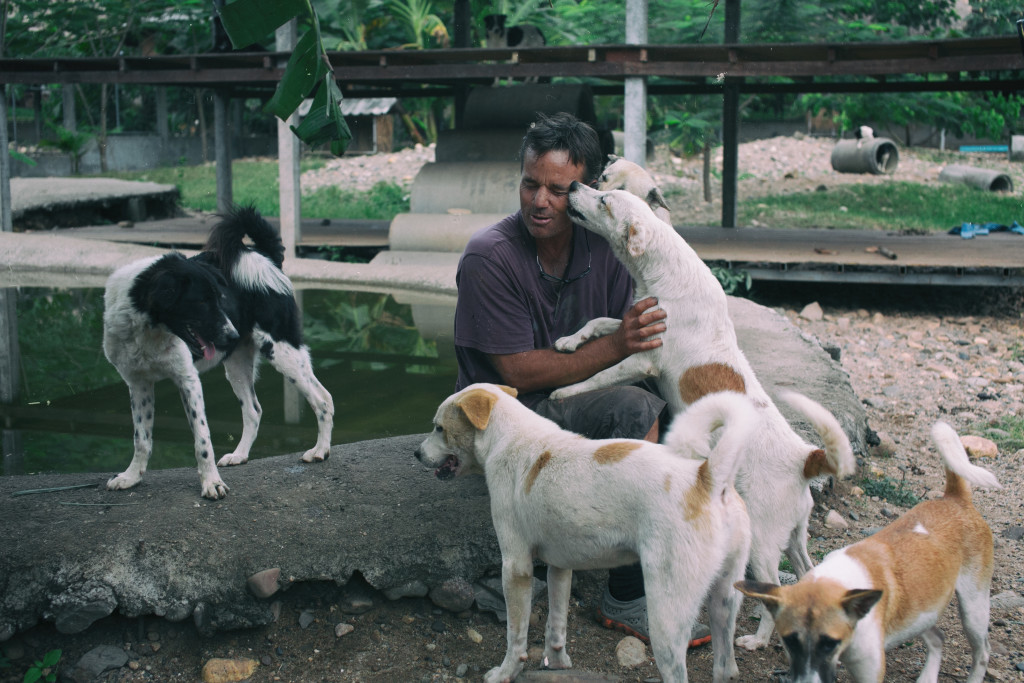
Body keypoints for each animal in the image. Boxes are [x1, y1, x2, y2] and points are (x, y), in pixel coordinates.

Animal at [100, 205, 331, 499]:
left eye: (219, 298)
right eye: (201, 302)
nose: (231, 335)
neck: (149, 330)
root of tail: (265, 256)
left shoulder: (188, 380)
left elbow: (202, 440)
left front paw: (211, 483)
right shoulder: (138, 383)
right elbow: (141, 438)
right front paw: (131, 477)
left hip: (282, 351)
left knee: (323, 399)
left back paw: (320, 450)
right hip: (237, 366)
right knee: (254, 410)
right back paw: (239, 455)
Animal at [413, 385, 753, 683]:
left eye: (439, 428)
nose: (416, 453)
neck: (508, 437)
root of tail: (706, 477)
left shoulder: (516, 567)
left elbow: (515, 634)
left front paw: (505, 672)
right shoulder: (560, 567)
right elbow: (556, 624)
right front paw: (557, 664)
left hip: (667, 617)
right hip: (725, 602)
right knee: (726, 667)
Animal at [552, 183, 856, 651]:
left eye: (604, 200)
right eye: (603, 189)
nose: (572, 186)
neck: (662, 269)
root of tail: (805, 459)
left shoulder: (642, 361)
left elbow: (598, 376)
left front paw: (566, 390)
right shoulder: (633, 327)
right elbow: (600, 322)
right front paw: (569, 341)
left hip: (763, 546)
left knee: (775, 591)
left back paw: (757, 640)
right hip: (795, 536)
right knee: (806, 573)